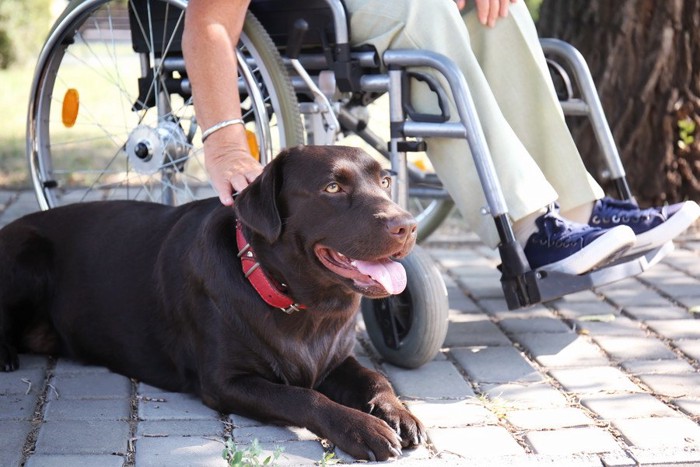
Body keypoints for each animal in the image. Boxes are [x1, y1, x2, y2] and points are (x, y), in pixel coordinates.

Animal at [0, 145, 422, 460]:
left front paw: (397, 412)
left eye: (385, 181)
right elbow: (303, 396)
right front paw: (362, 428)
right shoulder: (225, 382)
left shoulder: (334, 359)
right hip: (28, 252)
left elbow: (375, 377)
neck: (296, 303)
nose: (408, 225)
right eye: (333, 188)